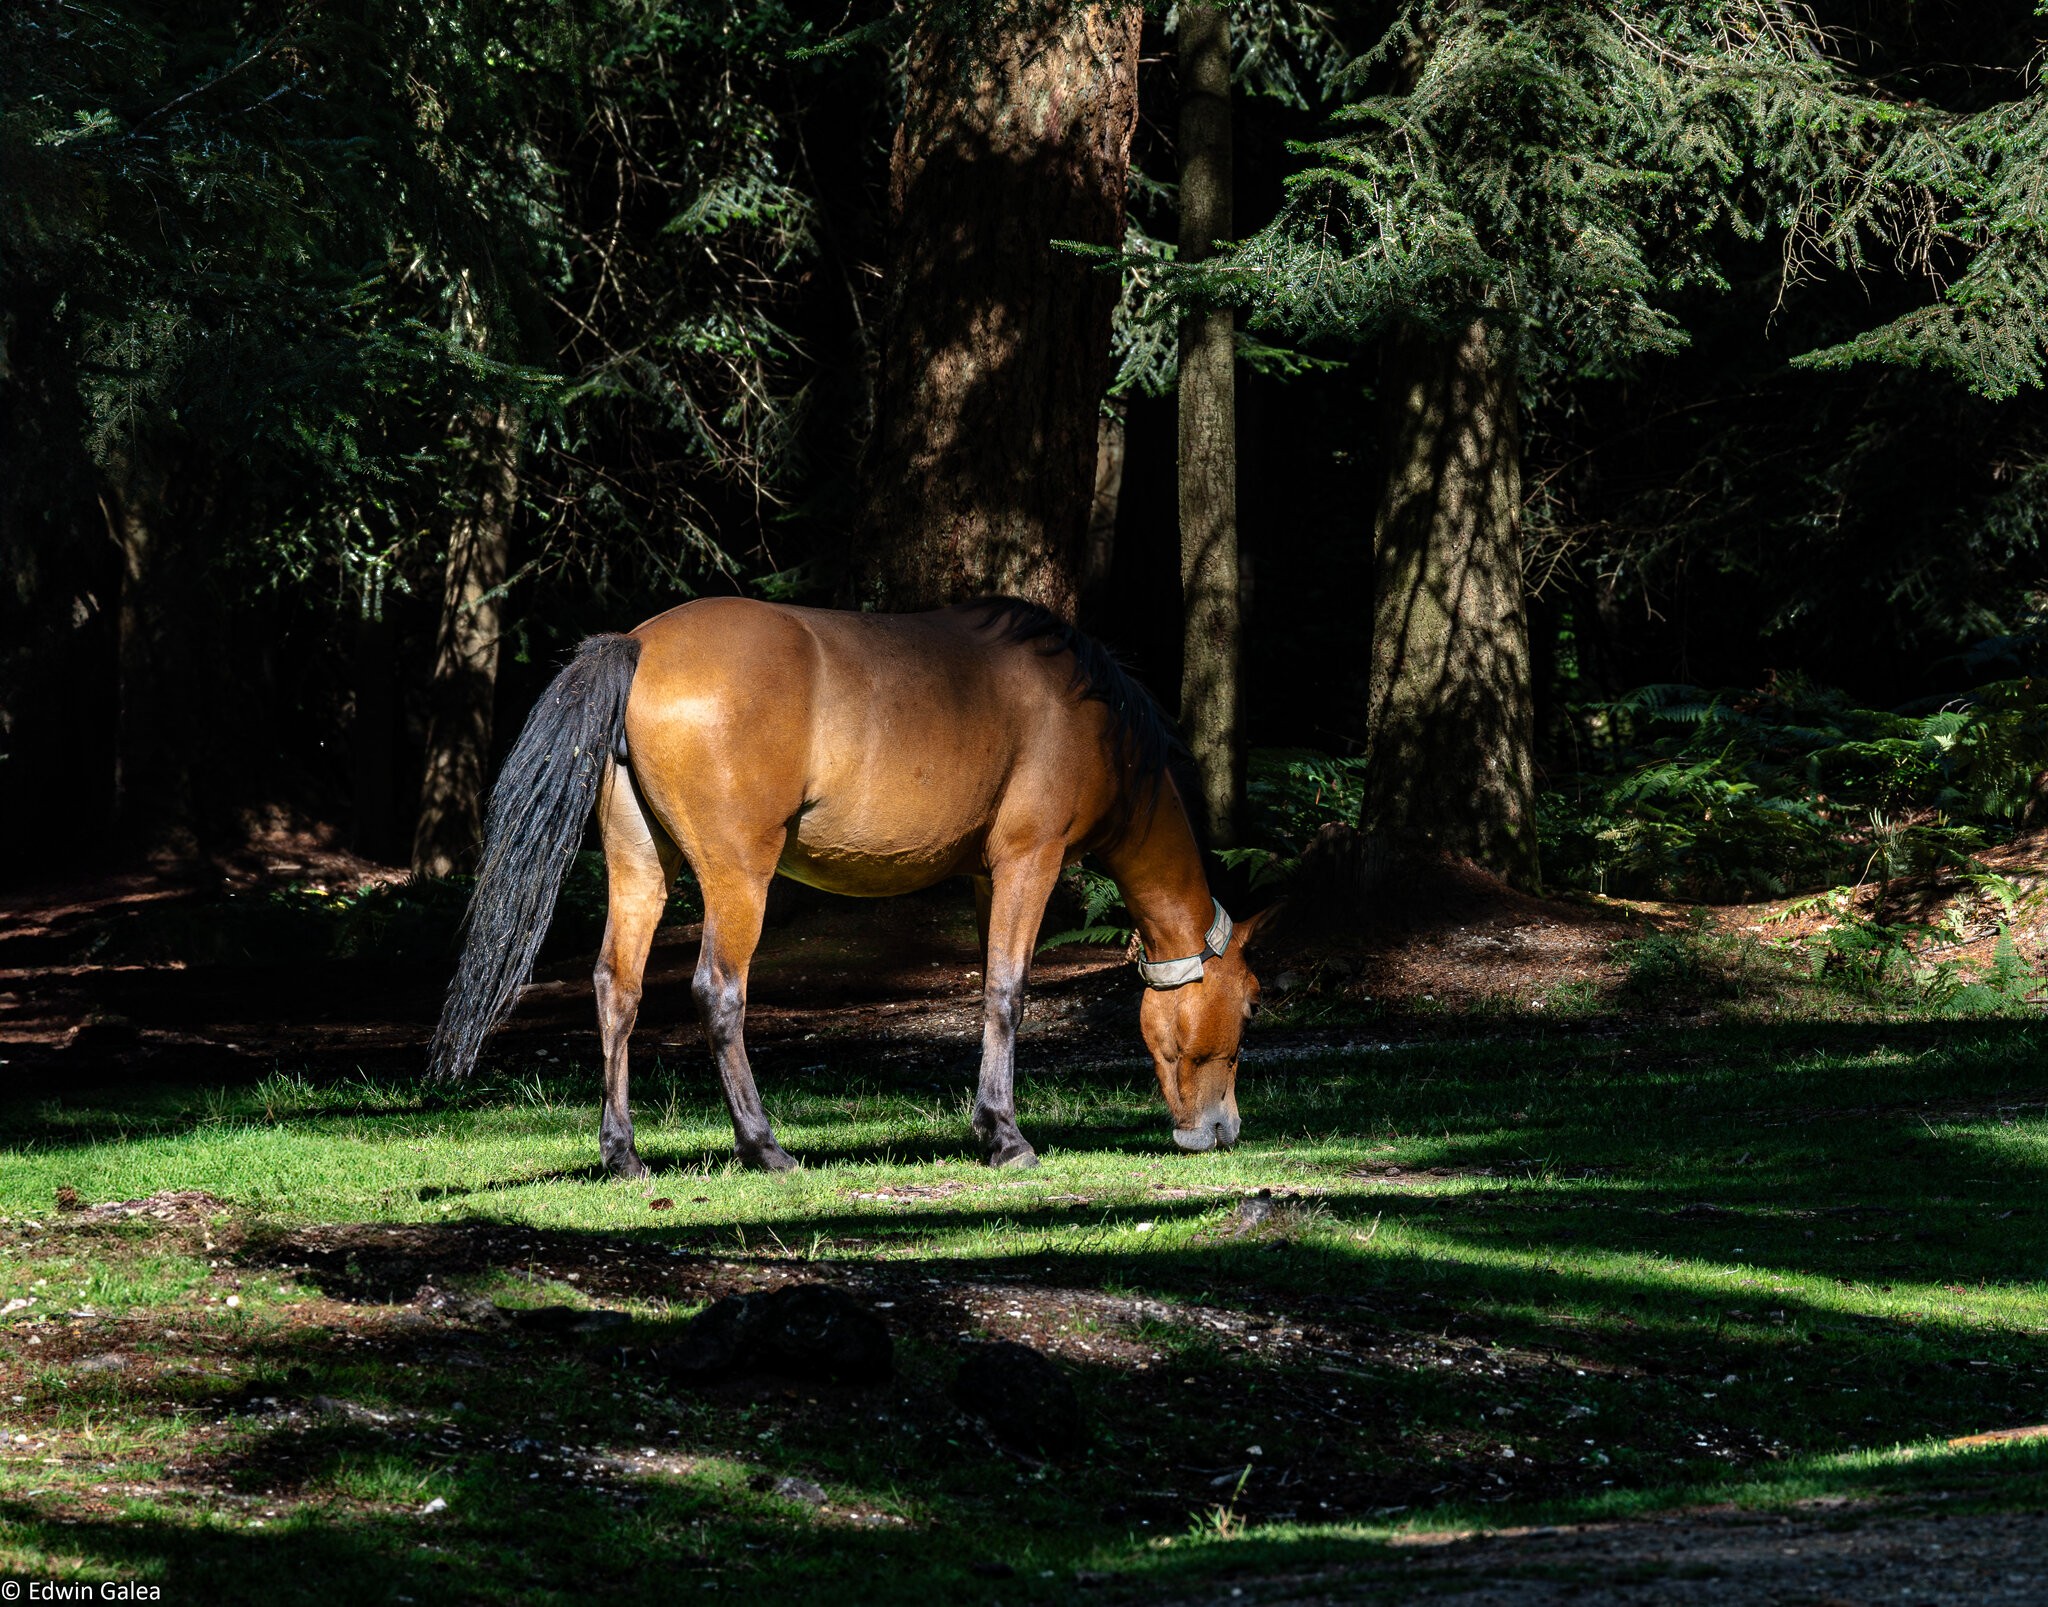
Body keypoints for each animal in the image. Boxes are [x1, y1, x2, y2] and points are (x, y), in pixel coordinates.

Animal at [428, 593, 1261, 1170]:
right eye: (1251, 1003)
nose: (1222, 1129)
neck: (1089, 717)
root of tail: (639, 643)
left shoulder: (988, 877)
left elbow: (989, 990)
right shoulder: (1032, 860)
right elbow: (1007, 993)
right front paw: (1005, 1136)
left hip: (642, 868)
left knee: (617, 989)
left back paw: (624, 1153)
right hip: (739, 877)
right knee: (718, 990)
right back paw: (763, 1144)